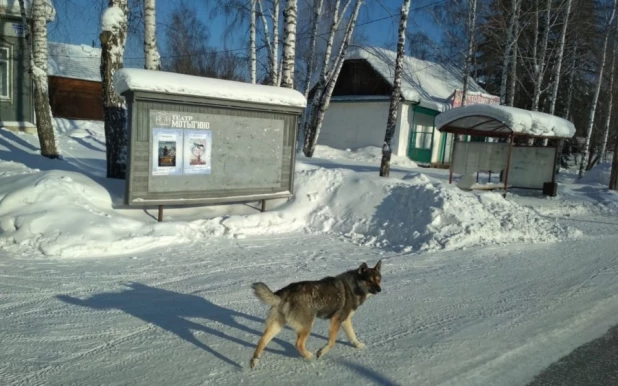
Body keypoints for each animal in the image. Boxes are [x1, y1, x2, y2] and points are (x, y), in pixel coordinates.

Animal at [248, 260, 378, 368]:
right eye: (369, 280)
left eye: (378, 279)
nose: (379, 289)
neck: (353, 285)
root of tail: (284, 293)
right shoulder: (336, 319)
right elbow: (331, 343)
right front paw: (321, 352)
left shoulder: (345, 320)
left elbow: (352, 335)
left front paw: (358, 345)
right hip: (307, 325)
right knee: (298, 344)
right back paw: (309, 356)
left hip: (277, 325)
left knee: (262, 340)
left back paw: (254, 360)